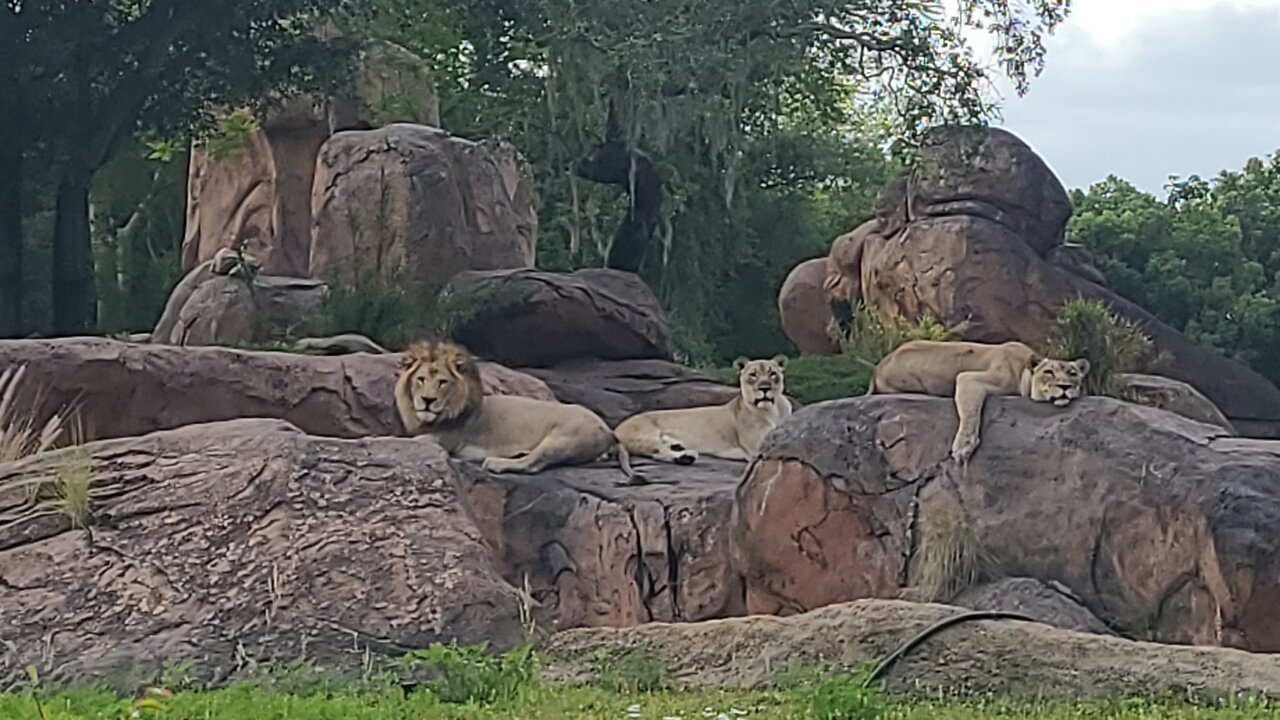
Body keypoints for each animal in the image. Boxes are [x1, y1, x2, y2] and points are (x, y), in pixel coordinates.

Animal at [394, 335, 645, 481]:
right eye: (420, 380)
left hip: (562, 438)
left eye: (442, 382)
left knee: (533, 464)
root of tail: (608, 429)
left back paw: (496, 463)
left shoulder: (447, 440)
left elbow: (407, 441)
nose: (427, 400)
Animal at [611, 353, 788, 466]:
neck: (773, 410)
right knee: (656, 450)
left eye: (772, 373)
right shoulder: (757, 447)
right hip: (643, 434)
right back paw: (686, 457)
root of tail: (615, 429)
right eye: (753, 375)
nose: (764, 388)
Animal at [870, 340, 1090, 461]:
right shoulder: (968, 377)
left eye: (1072, 374)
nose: (1065, 387)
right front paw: (964, 447)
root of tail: (878, 367)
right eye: (1049, 372)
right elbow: (970, 412)